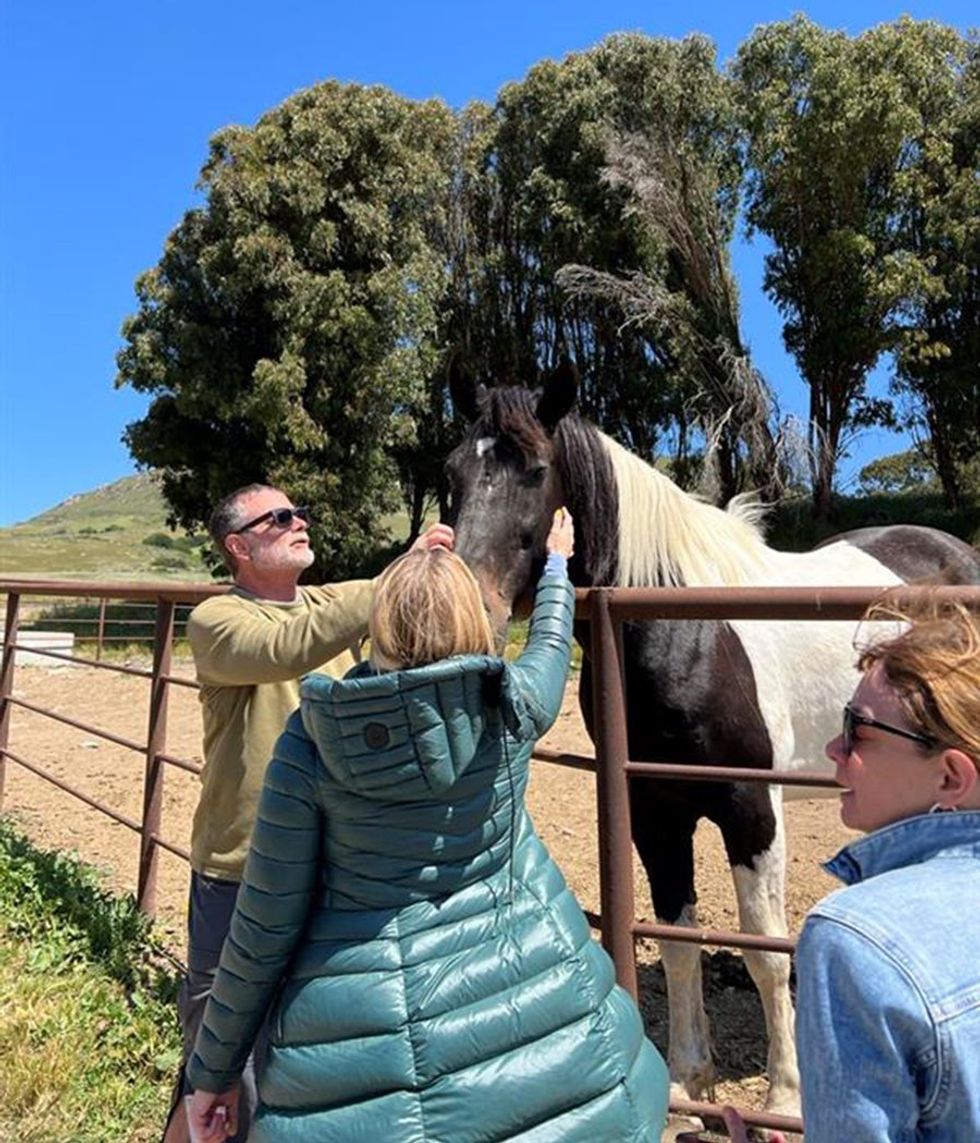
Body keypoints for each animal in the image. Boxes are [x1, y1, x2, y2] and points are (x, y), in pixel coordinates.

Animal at [444, 358, 980, 1123]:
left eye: (537, 471)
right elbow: (679, 940)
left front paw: (785, 1099)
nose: (467, 607)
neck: (687, 630)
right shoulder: (655, 813)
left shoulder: (752, 810)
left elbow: (764, 952)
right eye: (454, 471)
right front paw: (688, 1081)